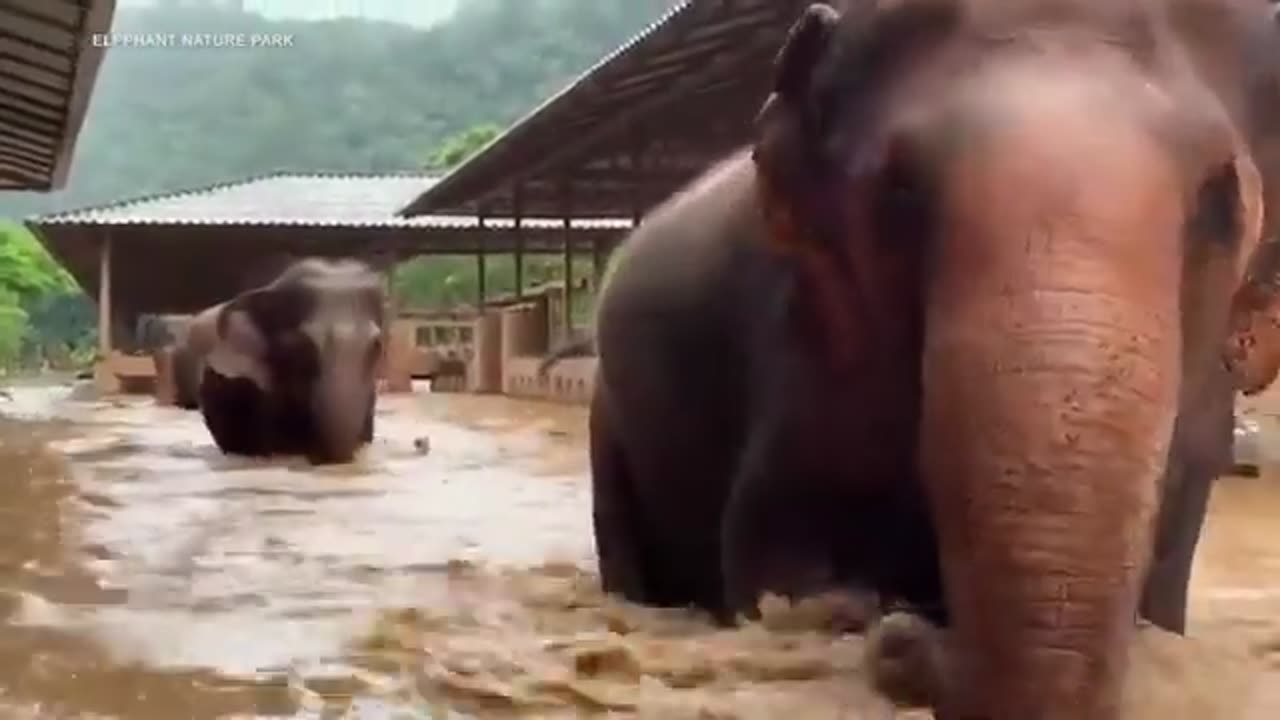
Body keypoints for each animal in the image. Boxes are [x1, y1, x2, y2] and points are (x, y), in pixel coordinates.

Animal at [591, 2, 1280, 712]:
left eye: (1221, 200)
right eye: (900, 192)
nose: (902, 633)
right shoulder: (808, 356)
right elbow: (767, 547)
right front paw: (842, 607)